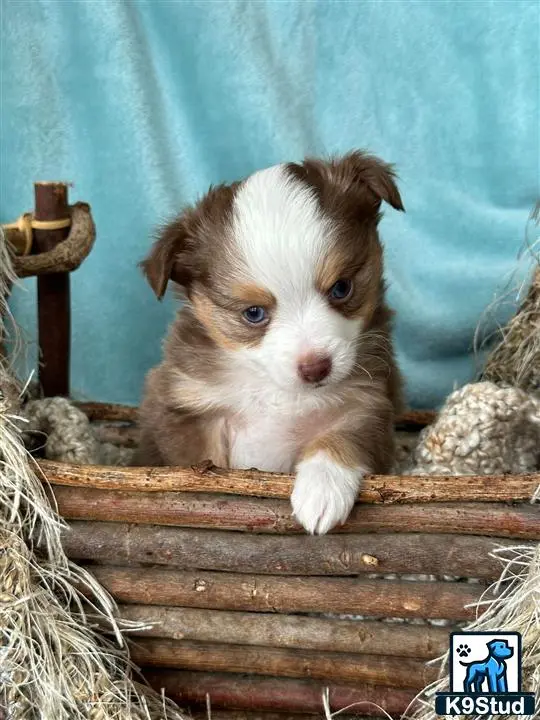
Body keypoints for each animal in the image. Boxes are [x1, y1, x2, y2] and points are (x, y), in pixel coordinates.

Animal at [135, 150, 404, 536]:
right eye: (253, 313)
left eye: (342, 288)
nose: (316, 368)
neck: (276, 390)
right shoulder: (188, 408)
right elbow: (198, 462)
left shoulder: (369, 401)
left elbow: (345, 435)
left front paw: (322, 489)